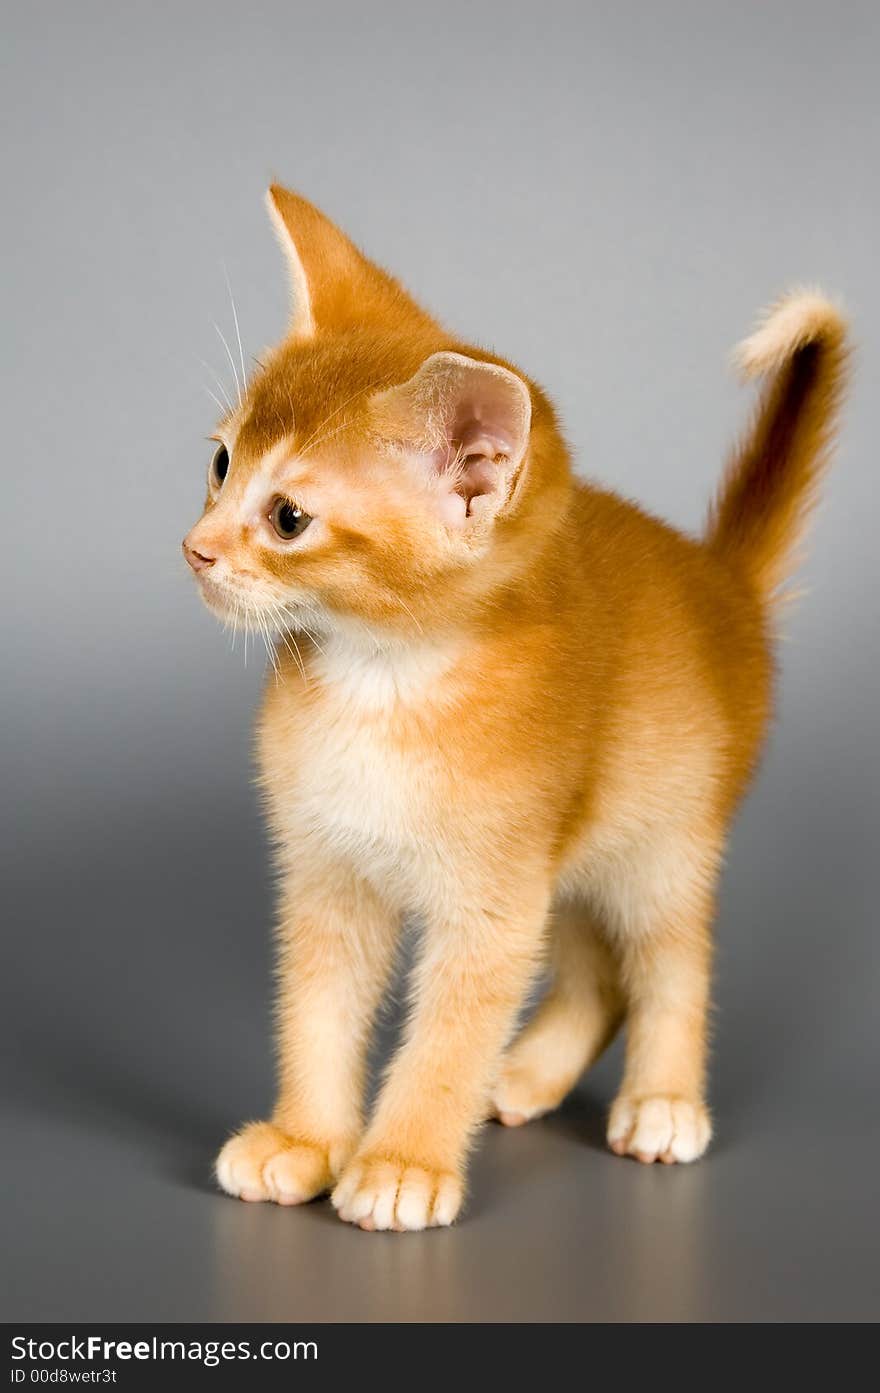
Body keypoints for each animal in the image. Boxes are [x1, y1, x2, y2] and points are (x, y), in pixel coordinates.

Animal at [183, 185, 846, 1231]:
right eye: (218, 464)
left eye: (288, 518)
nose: (195, 548)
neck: (385, 682)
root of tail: (722, 583)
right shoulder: (330, 875)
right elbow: (318, 1011)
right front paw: (305, 1141)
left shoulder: (491, 902)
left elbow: (448, 1038)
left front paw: (402, 1163)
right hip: (571, 847)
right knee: (597, 974)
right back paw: (526, 1073)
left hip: (662, 840)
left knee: (670, 961)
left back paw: (662, 1101)